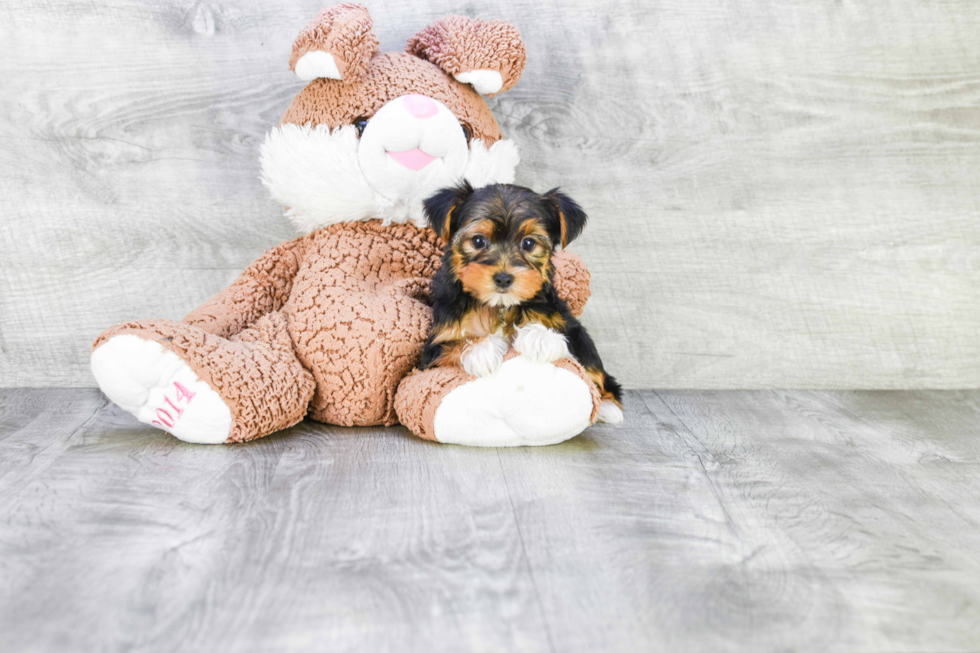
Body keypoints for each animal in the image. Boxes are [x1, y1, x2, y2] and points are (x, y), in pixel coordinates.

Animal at [420, 181, 620, 422]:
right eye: (478, 241)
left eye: (529, 243)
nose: (503, 278)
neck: (499, 305)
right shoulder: (433, 349)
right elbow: (451, 346)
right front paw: (482, 350)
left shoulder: (565, 322)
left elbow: (574, 353)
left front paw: (540, 338)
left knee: (599, 373)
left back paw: (609, 408)